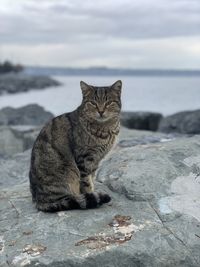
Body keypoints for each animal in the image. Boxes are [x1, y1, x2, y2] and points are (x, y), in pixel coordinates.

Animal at [29, 80, 122, 213]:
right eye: (93, 103)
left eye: (109, 102)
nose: (101, 111)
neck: (105, 129)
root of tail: (38, 201)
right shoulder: (84, 159)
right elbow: (86, 182)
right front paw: (91, 194)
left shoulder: (95, 161)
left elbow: (92, 178)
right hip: (67, 173)